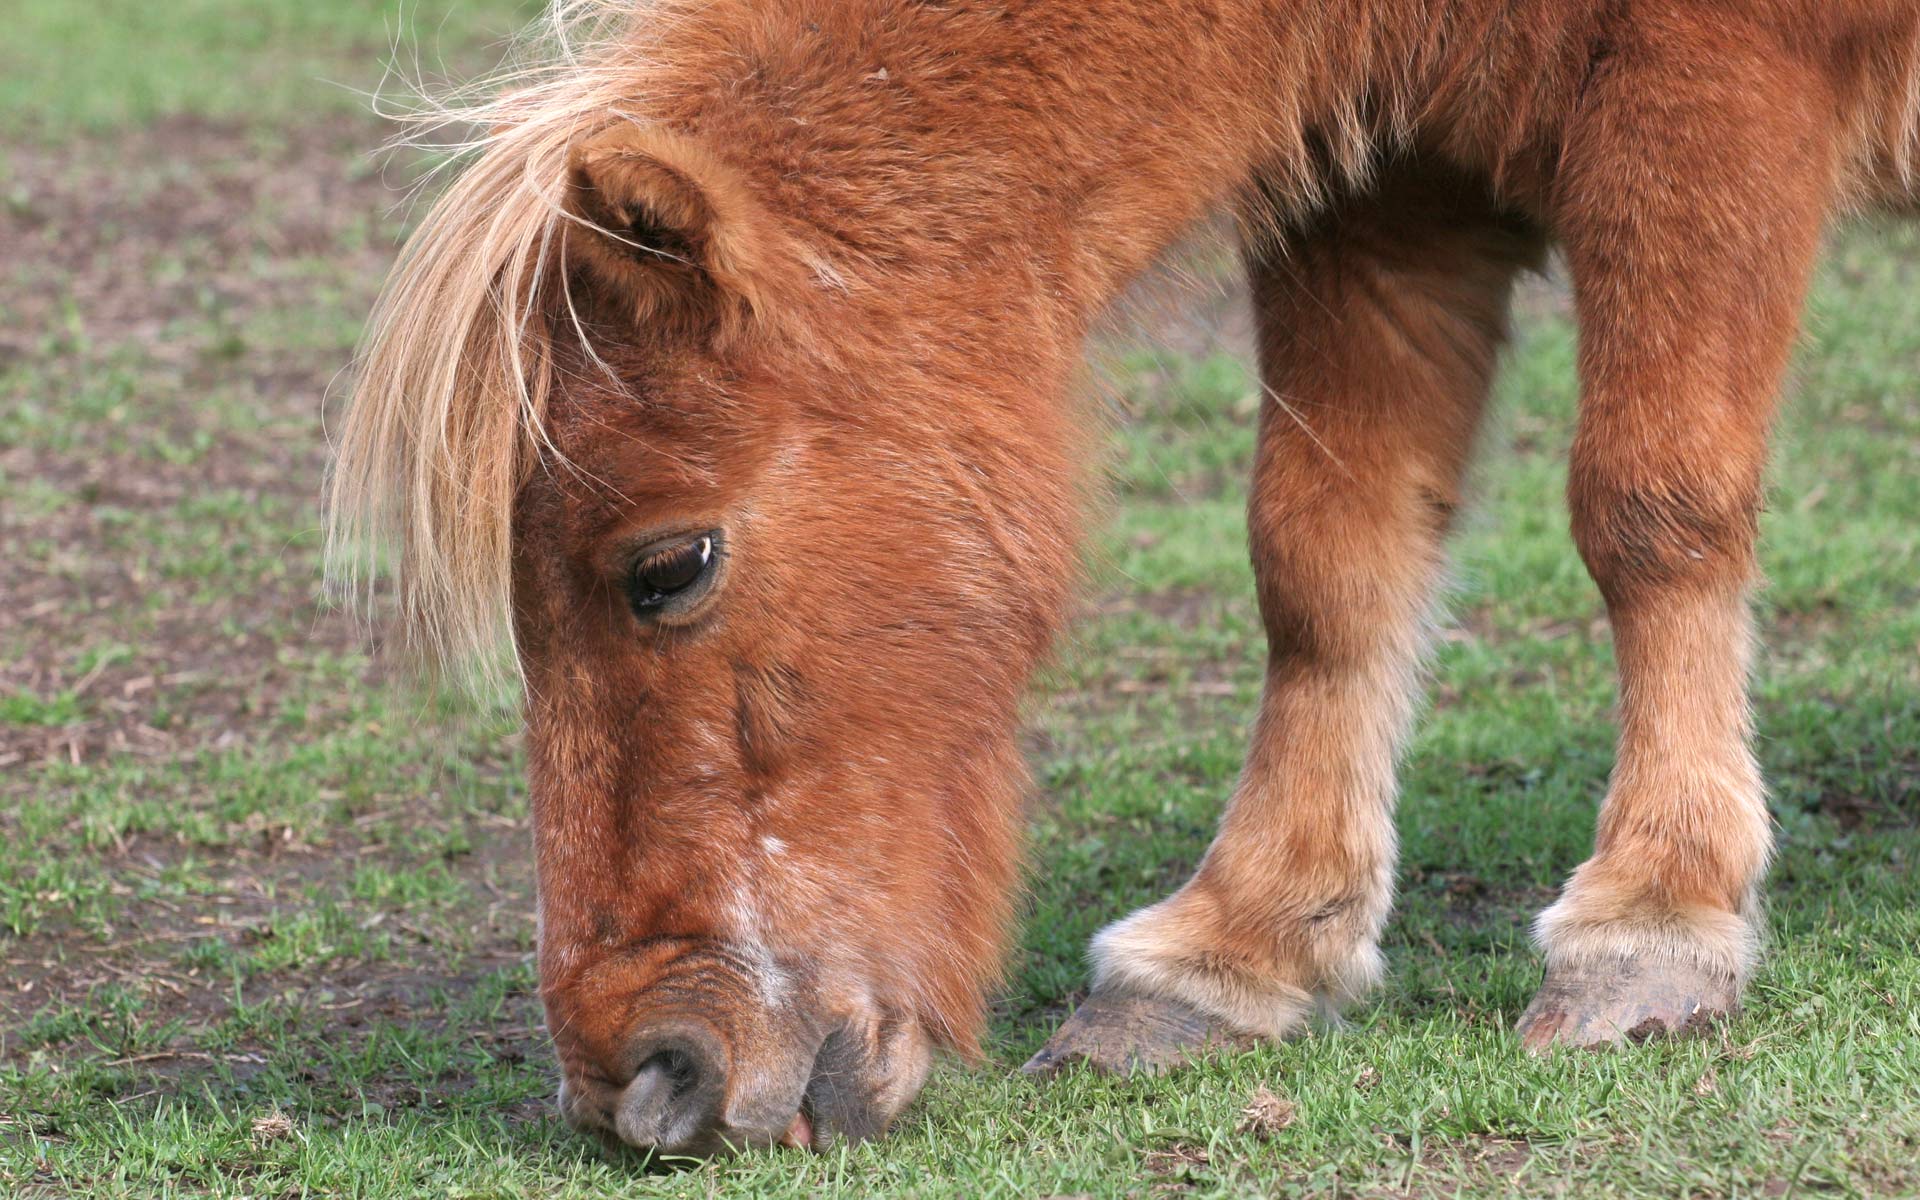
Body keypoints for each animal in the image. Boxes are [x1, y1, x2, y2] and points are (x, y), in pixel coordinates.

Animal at [326, 0, 1920, 1159]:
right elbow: (1325, 562)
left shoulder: (1706, 94)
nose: (646, 1080)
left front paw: (1653, 915)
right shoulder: (1379, 180)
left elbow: (1652, 510)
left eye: (668, 566)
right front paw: (1241, 945)